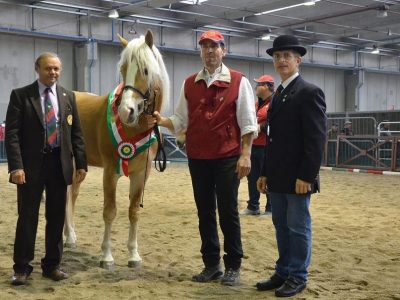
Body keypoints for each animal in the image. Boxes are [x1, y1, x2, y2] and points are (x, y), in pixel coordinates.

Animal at [63, 30, 169, 270]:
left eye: (146, 70)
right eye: (123, 69)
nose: (125, 111)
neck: (135, 128)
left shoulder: (141, 174)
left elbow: (133, 211)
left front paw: (134, 256)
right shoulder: (110, 170)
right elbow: (110, 211)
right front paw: (107, 257)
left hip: (78, 167)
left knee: (71, 194)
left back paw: (70, 237)